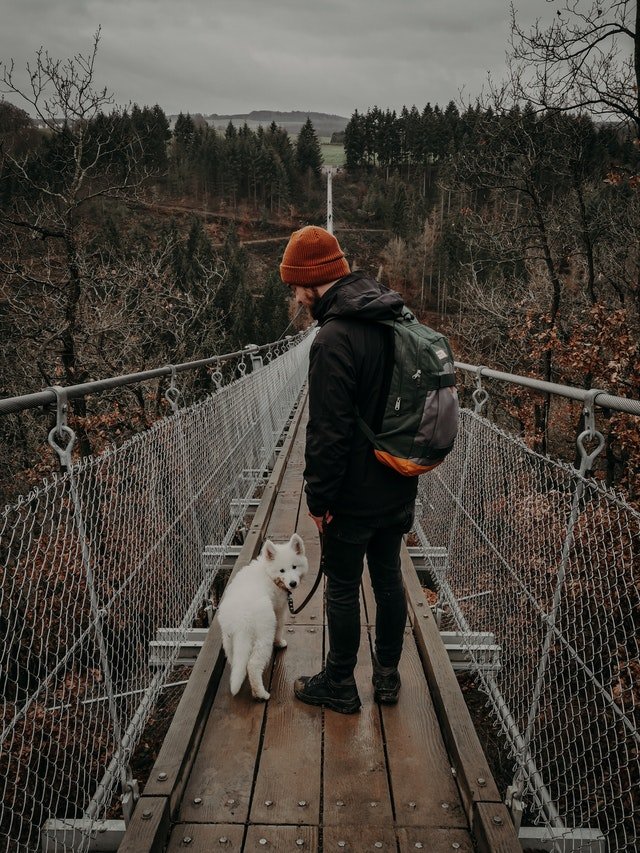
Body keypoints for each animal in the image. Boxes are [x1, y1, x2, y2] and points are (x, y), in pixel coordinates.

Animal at [218, 532, 308, 700]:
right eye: (282, 570)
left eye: (294, 567)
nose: (292, 583)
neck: (268, 573)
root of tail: (242, 620)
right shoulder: (279, 608)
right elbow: (280, 626)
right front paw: (280, 642)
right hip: (264, 634)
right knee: (253, 665)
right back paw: (261, 694)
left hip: (229, 638)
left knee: (235, 660)